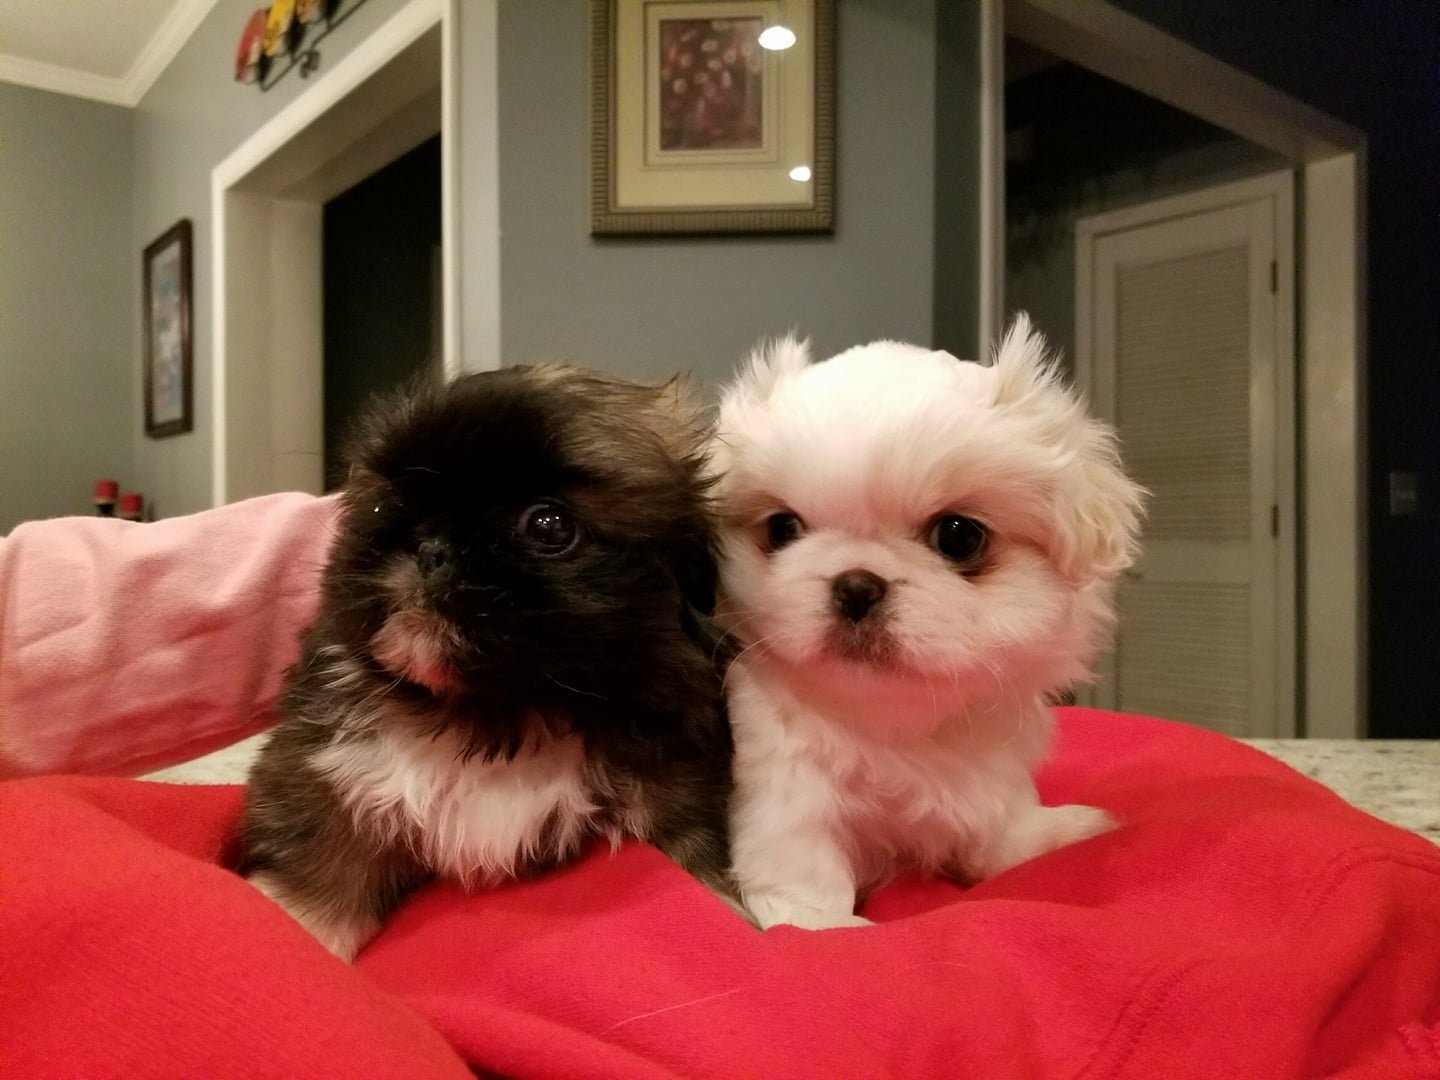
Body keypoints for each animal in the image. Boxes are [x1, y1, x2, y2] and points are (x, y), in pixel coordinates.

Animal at [239, 365, 731, 961]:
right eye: (379, 508)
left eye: (548, 525)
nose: (431, 546)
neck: (496, 720)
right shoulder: (328, 776)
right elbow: (321, 867)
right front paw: (299, 926)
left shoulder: (673, 800)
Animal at [714, 312, 1140, 933]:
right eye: (783, 528)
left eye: (960, 536)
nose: (856, 584)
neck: (897, 725)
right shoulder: (786, 788)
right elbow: (802, 871)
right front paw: (827, 927)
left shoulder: (991, 770)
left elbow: (1002, 830)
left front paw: (1054, 835)